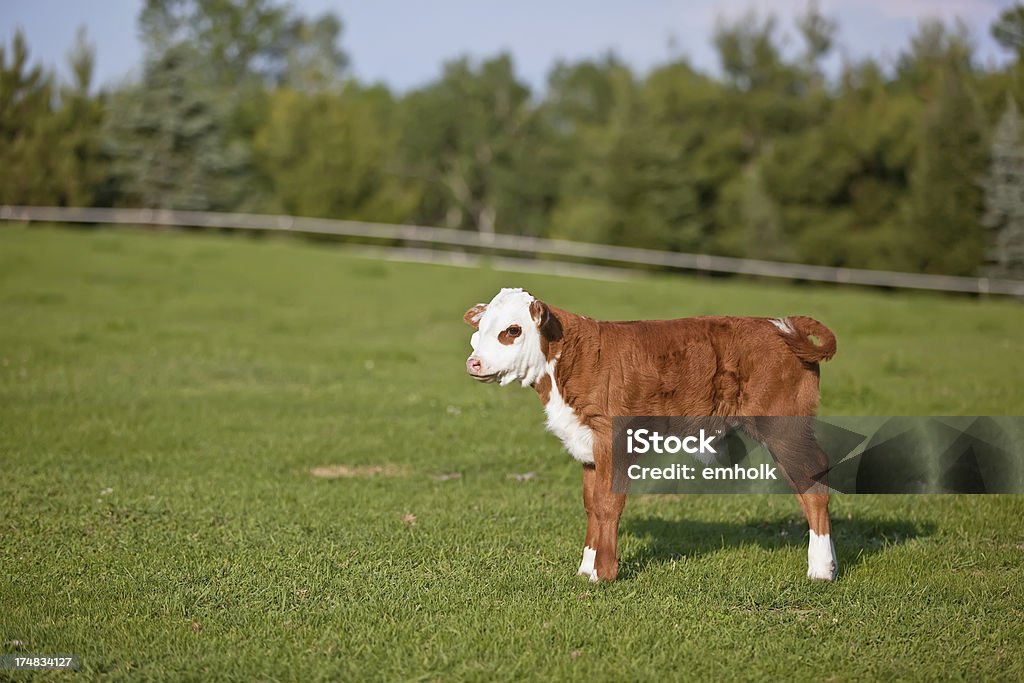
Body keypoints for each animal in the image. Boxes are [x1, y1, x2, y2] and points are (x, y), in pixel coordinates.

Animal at [464, 286, 839, 581]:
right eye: (479, 330)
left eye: (512, 330)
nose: (473, 363)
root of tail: (780, 325)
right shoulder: (587, 445)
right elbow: (591, 505)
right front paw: (586, 568)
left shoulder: (613, 441)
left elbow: (608, 503)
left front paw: (603, 573)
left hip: (785, 427)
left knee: (813, 480)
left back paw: (821, 569)